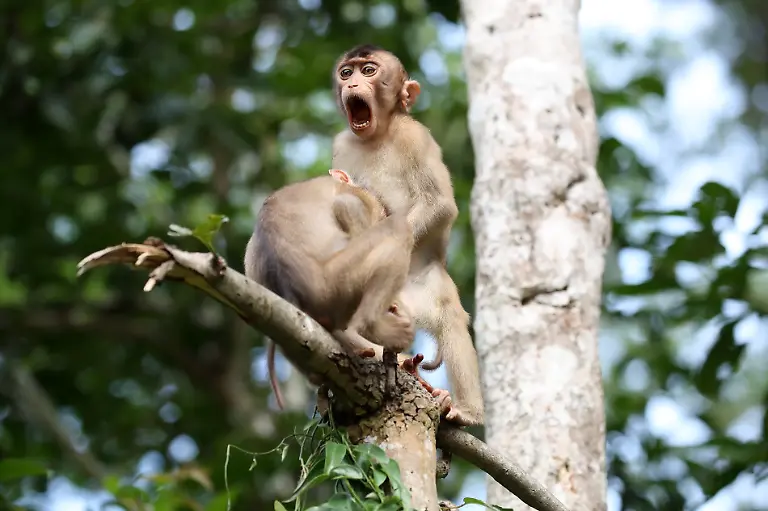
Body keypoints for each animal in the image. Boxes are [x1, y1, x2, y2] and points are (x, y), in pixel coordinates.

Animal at [245, 169, 419, 409]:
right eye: (381, 211)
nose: (382, 214)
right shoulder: (357, 201)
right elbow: (345, 206)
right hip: (337, 283)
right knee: (399, 229)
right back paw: (372, 328)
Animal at [330, 44, 484, 426]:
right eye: (346, 73)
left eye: (369, 70)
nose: (352, 83)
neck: (378, 135)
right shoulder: (342, 145)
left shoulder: (416, 138)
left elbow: (439, 203)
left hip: (428, 286)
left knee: (450, 317)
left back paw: (465, 411)